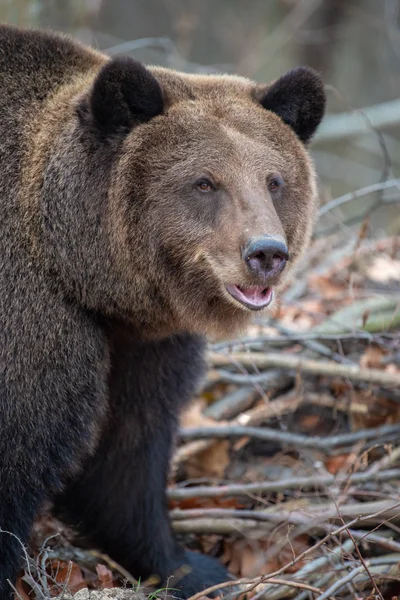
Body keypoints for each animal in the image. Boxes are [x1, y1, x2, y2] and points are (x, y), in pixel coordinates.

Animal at [0, 23, 324, 600]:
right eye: (205, 181)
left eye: (274, 180)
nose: (266, 253)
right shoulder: (36, 322)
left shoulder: (143, 340)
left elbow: (129, 452)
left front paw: (188, 566)